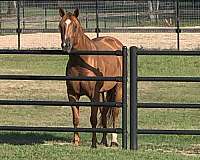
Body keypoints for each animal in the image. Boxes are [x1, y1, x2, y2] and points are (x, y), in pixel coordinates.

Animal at [58, 7, 122, 148]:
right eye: (60, 26)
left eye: (75, 26)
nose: (66, 45)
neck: (82, 62)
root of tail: (116, 42)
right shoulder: (72, 95)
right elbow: (76, 119)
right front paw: (76, 141)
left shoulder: (93, 95)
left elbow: (92, 119)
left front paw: (93, 144)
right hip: (103, 92)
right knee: (104, 113)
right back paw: (104, 141)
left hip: (117, 88)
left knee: (114, 113)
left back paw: (113, 141)